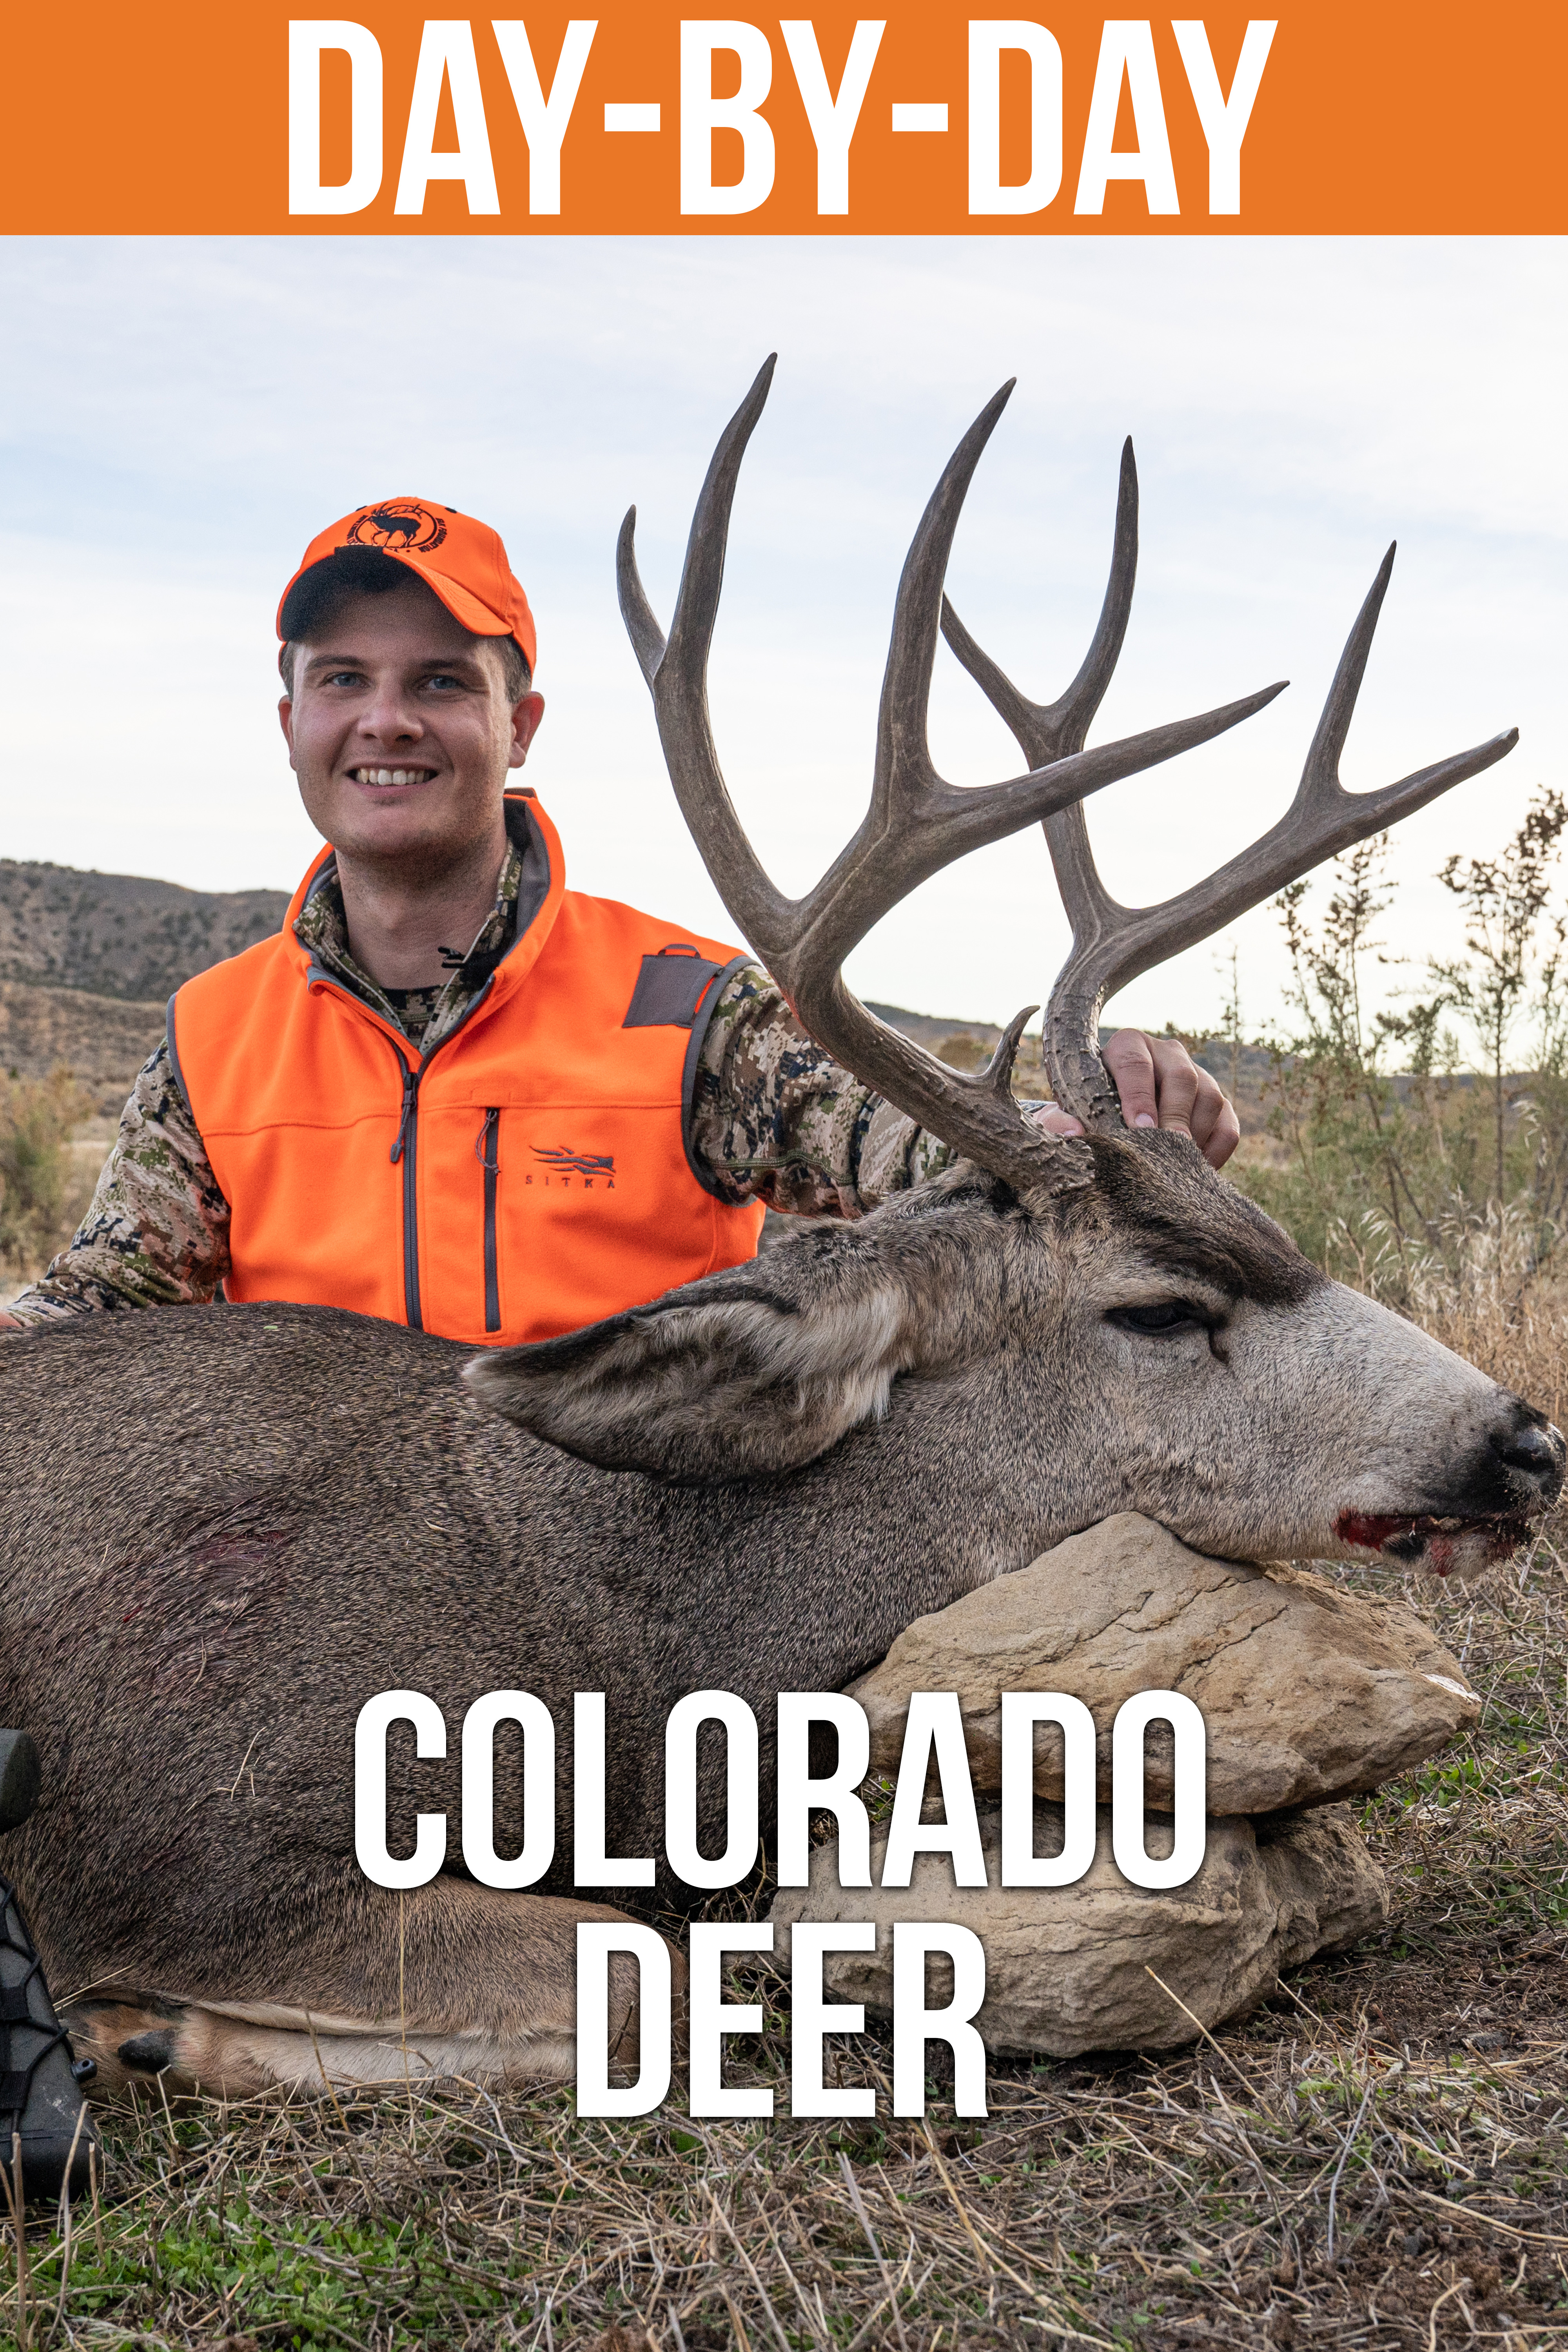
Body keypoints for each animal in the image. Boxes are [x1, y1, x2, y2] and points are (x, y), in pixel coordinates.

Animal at [0, 361, 1559, 2101]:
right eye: (1158, 1308)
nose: (1524, 1442)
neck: (625, 1648)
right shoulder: (183, 1829)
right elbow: (655, 1981)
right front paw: (145, 2028)